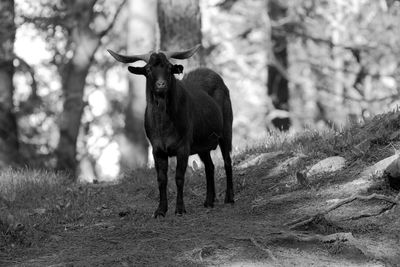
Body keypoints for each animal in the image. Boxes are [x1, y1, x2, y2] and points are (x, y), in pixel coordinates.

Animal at [108, 45, 234, 218]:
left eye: (168, 67)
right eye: (148, 69)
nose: (161, 84)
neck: (164, 125)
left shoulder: (183, 146)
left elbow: (179, 177)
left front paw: (180, 209)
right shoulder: (157, 149)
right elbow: (161, 179)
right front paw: (160, 210)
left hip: (226, 129)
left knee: (227, 161)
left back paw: (229, 198)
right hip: (202, 144)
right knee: (210, 166)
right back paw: (209, 201)